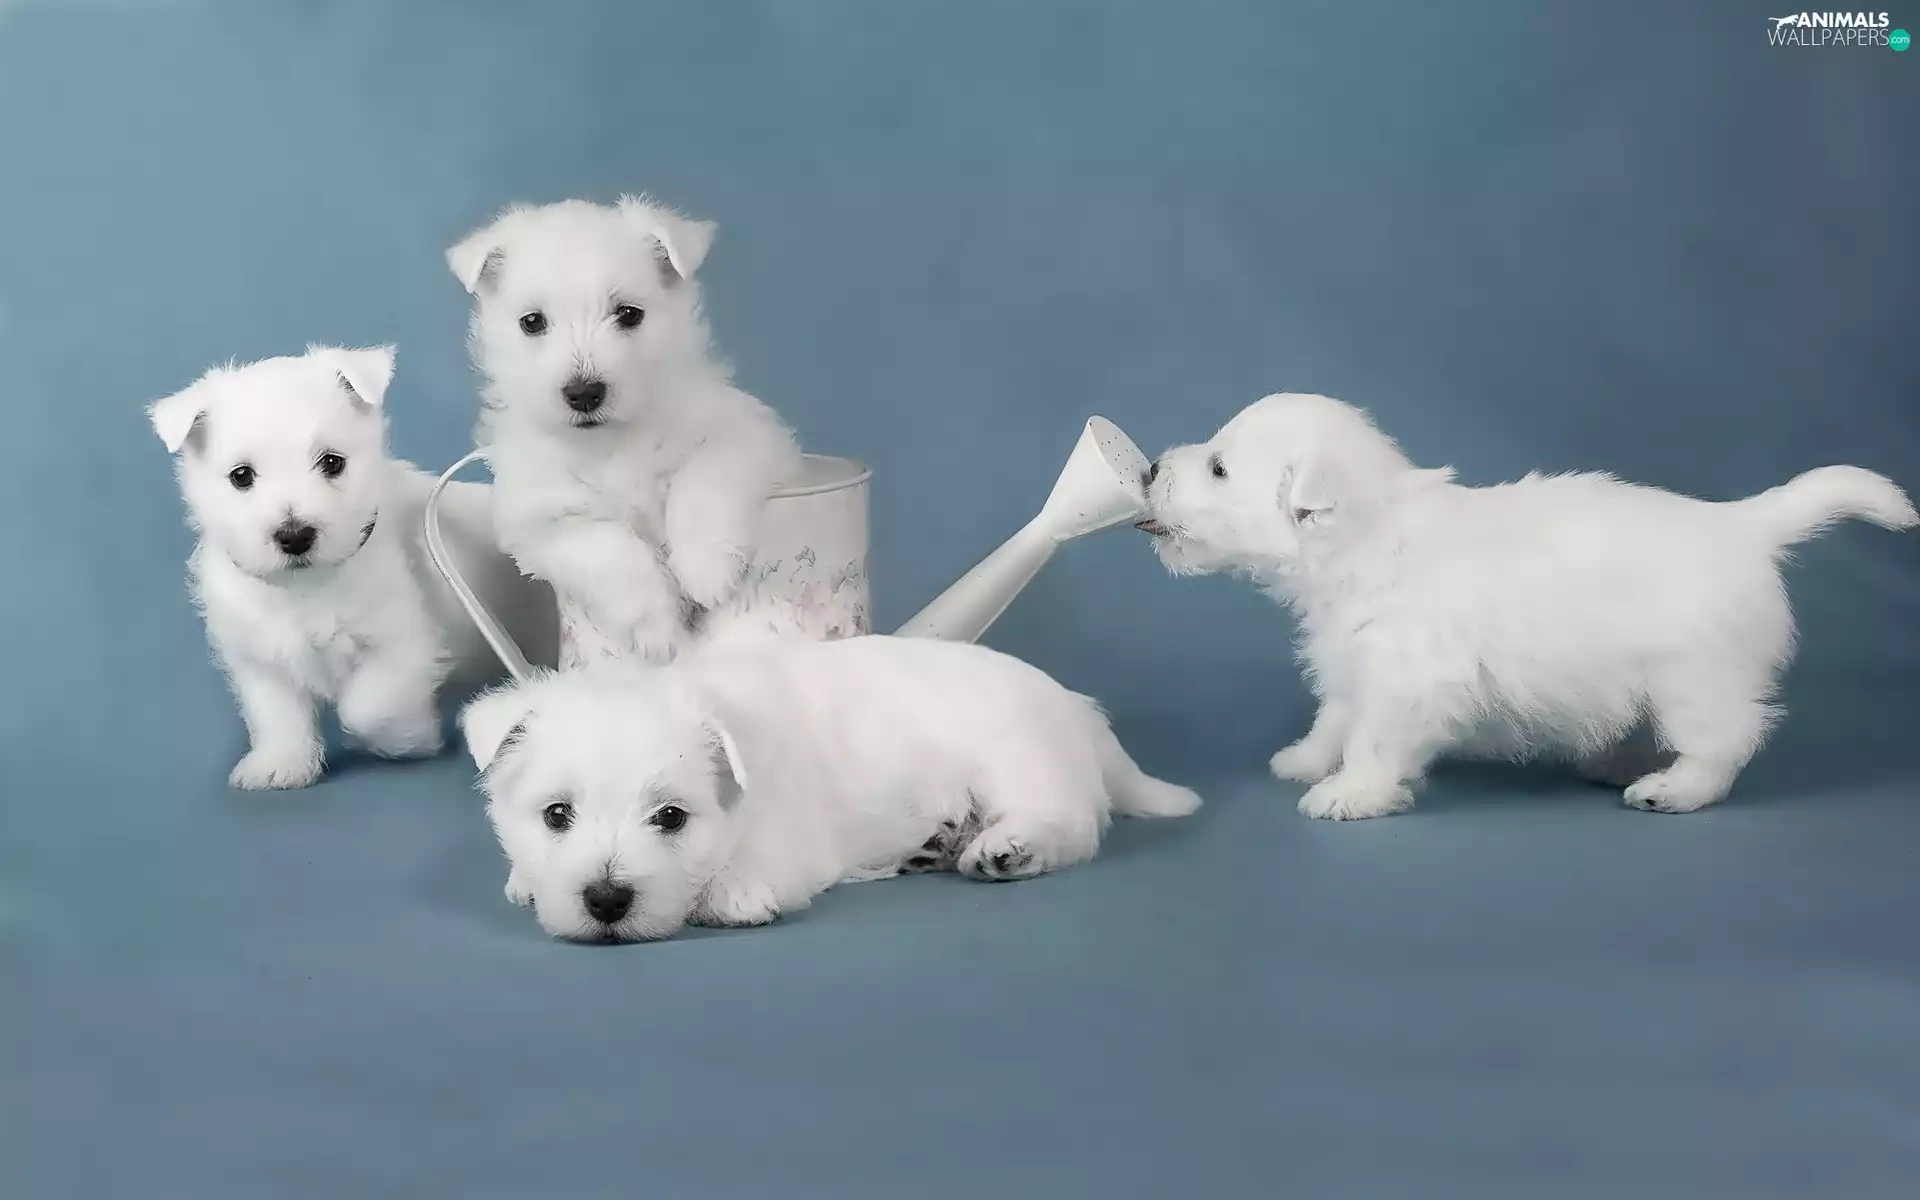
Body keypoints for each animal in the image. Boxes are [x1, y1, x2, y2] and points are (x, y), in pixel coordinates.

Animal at [151, 345, 554, 789]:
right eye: (241, 476)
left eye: (332, 463)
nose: (294, 535)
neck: (306, 585)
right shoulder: (259, 658)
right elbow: (277, 714)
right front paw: (282, 762)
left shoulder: (404, 642)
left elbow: (363, 706)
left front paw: (411, 738)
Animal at [447, 196, 801, 666]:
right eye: (532, 322)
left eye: (629, 314)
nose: (583, 393)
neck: (612, 441)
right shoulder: (540, 519)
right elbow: (612, 551)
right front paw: (662, 633)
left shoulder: (740, 429)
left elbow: (703, 480)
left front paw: (705, 568)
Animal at [461, 635, 1201, 942]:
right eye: (557, 815)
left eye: (671, 817)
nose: (607, 901)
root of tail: (1078, 710)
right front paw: (526, 882)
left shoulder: (792, 834)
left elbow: (753, 864)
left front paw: (733, 893)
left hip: (1017, 759)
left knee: (1071, 825)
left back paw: (1007, 848)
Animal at [1141, 392, 1915, 820]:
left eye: (1219, 468)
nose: (1150, 469)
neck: (1370, 537)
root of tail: (1744, 525)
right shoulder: (1353, 657)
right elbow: (1336, 715)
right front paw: (1307, 759)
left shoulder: (1407, 675)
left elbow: (1375, 738)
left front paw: (1352, 792)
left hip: (1695, 677)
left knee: (1725, 739)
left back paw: (1674, 788)